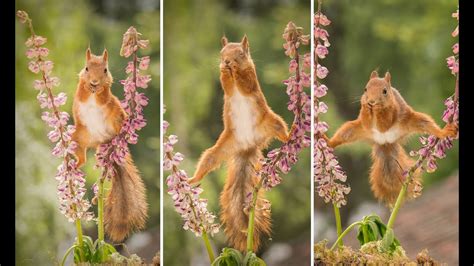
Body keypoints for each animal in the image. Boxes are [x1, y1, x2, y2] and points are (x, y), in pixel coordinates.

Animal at [71, 47, 146, 241]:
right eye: (86, 68)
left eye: (105, 70)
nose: (94, 82)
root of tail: (102, 139)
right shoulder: (79, 89)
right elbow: (81, 91)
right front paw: (88, 87)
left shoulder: (107, 96)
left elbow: (104, 95)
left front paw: (99, 89)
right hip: (78, 138)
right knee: (82, 158)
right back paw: (75, 165)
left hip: (116, 117)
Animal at [187, 35, 290, 251]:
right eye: (221, 53)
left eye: (241, 53)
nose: (227, 61)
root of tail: (246, 146)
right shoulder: (226, 86)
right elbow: (226, 84)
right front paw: (225, 71)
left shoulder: (251, 78)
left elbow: (245, 83)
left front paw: (235, 70)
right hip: (220, 148)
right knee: (208, 161)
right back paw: (192, 179)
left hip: (273, 122)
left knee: (281, 130)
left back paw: (290, 136)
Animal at [328, 70, 458, 204]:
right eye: (365, 89)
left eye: (385, 91)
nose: (371, 102)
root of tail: (385, 143)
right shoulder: (365, 124)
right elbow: (366, 120)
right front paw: (366, 107)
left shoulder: (394, 111)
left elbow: (385, 122)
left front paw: (378, 109)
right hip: (352, 129)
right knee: (343, 134)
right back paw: (327, 142)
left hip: (414, 120)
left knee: (428, 125)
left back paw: (444, 132)